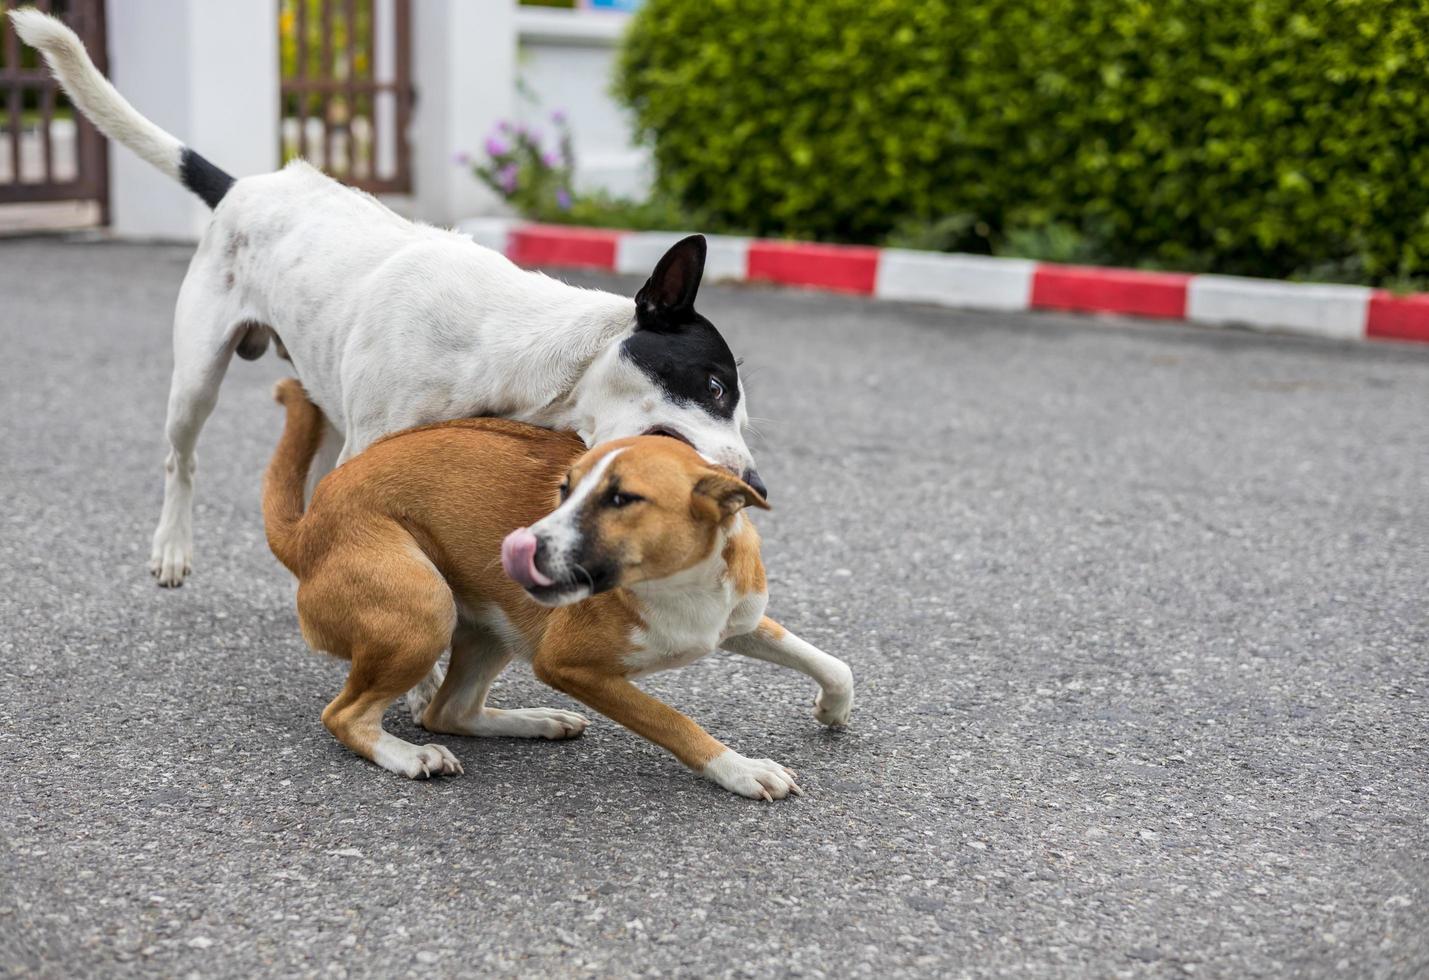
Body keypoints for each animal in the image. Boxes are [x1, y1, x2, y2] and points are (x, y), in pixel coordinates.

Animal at [11, 9, 765, 582]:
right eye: (714, 386)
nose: (756, 484)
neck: (515, 350)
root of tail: (248, 185)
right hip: (197, 377)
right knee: (181, 456)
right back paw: (172, 547)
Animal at [262, 380, 851, 800]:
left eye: (621, 499)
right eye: (564, 490)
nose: (518, 546)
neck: (677, 581)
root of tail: (305, 527)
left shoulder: (740, 621)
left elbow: (834, 664)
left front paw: (832, 709)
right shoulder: (570, 666)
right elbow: (672, 720)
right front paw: (740, 769)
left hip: (488, 624)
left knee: (448, 712)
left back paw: (537, 721)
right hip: (426, 608)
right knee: (346, 716)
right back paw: (409, 755)